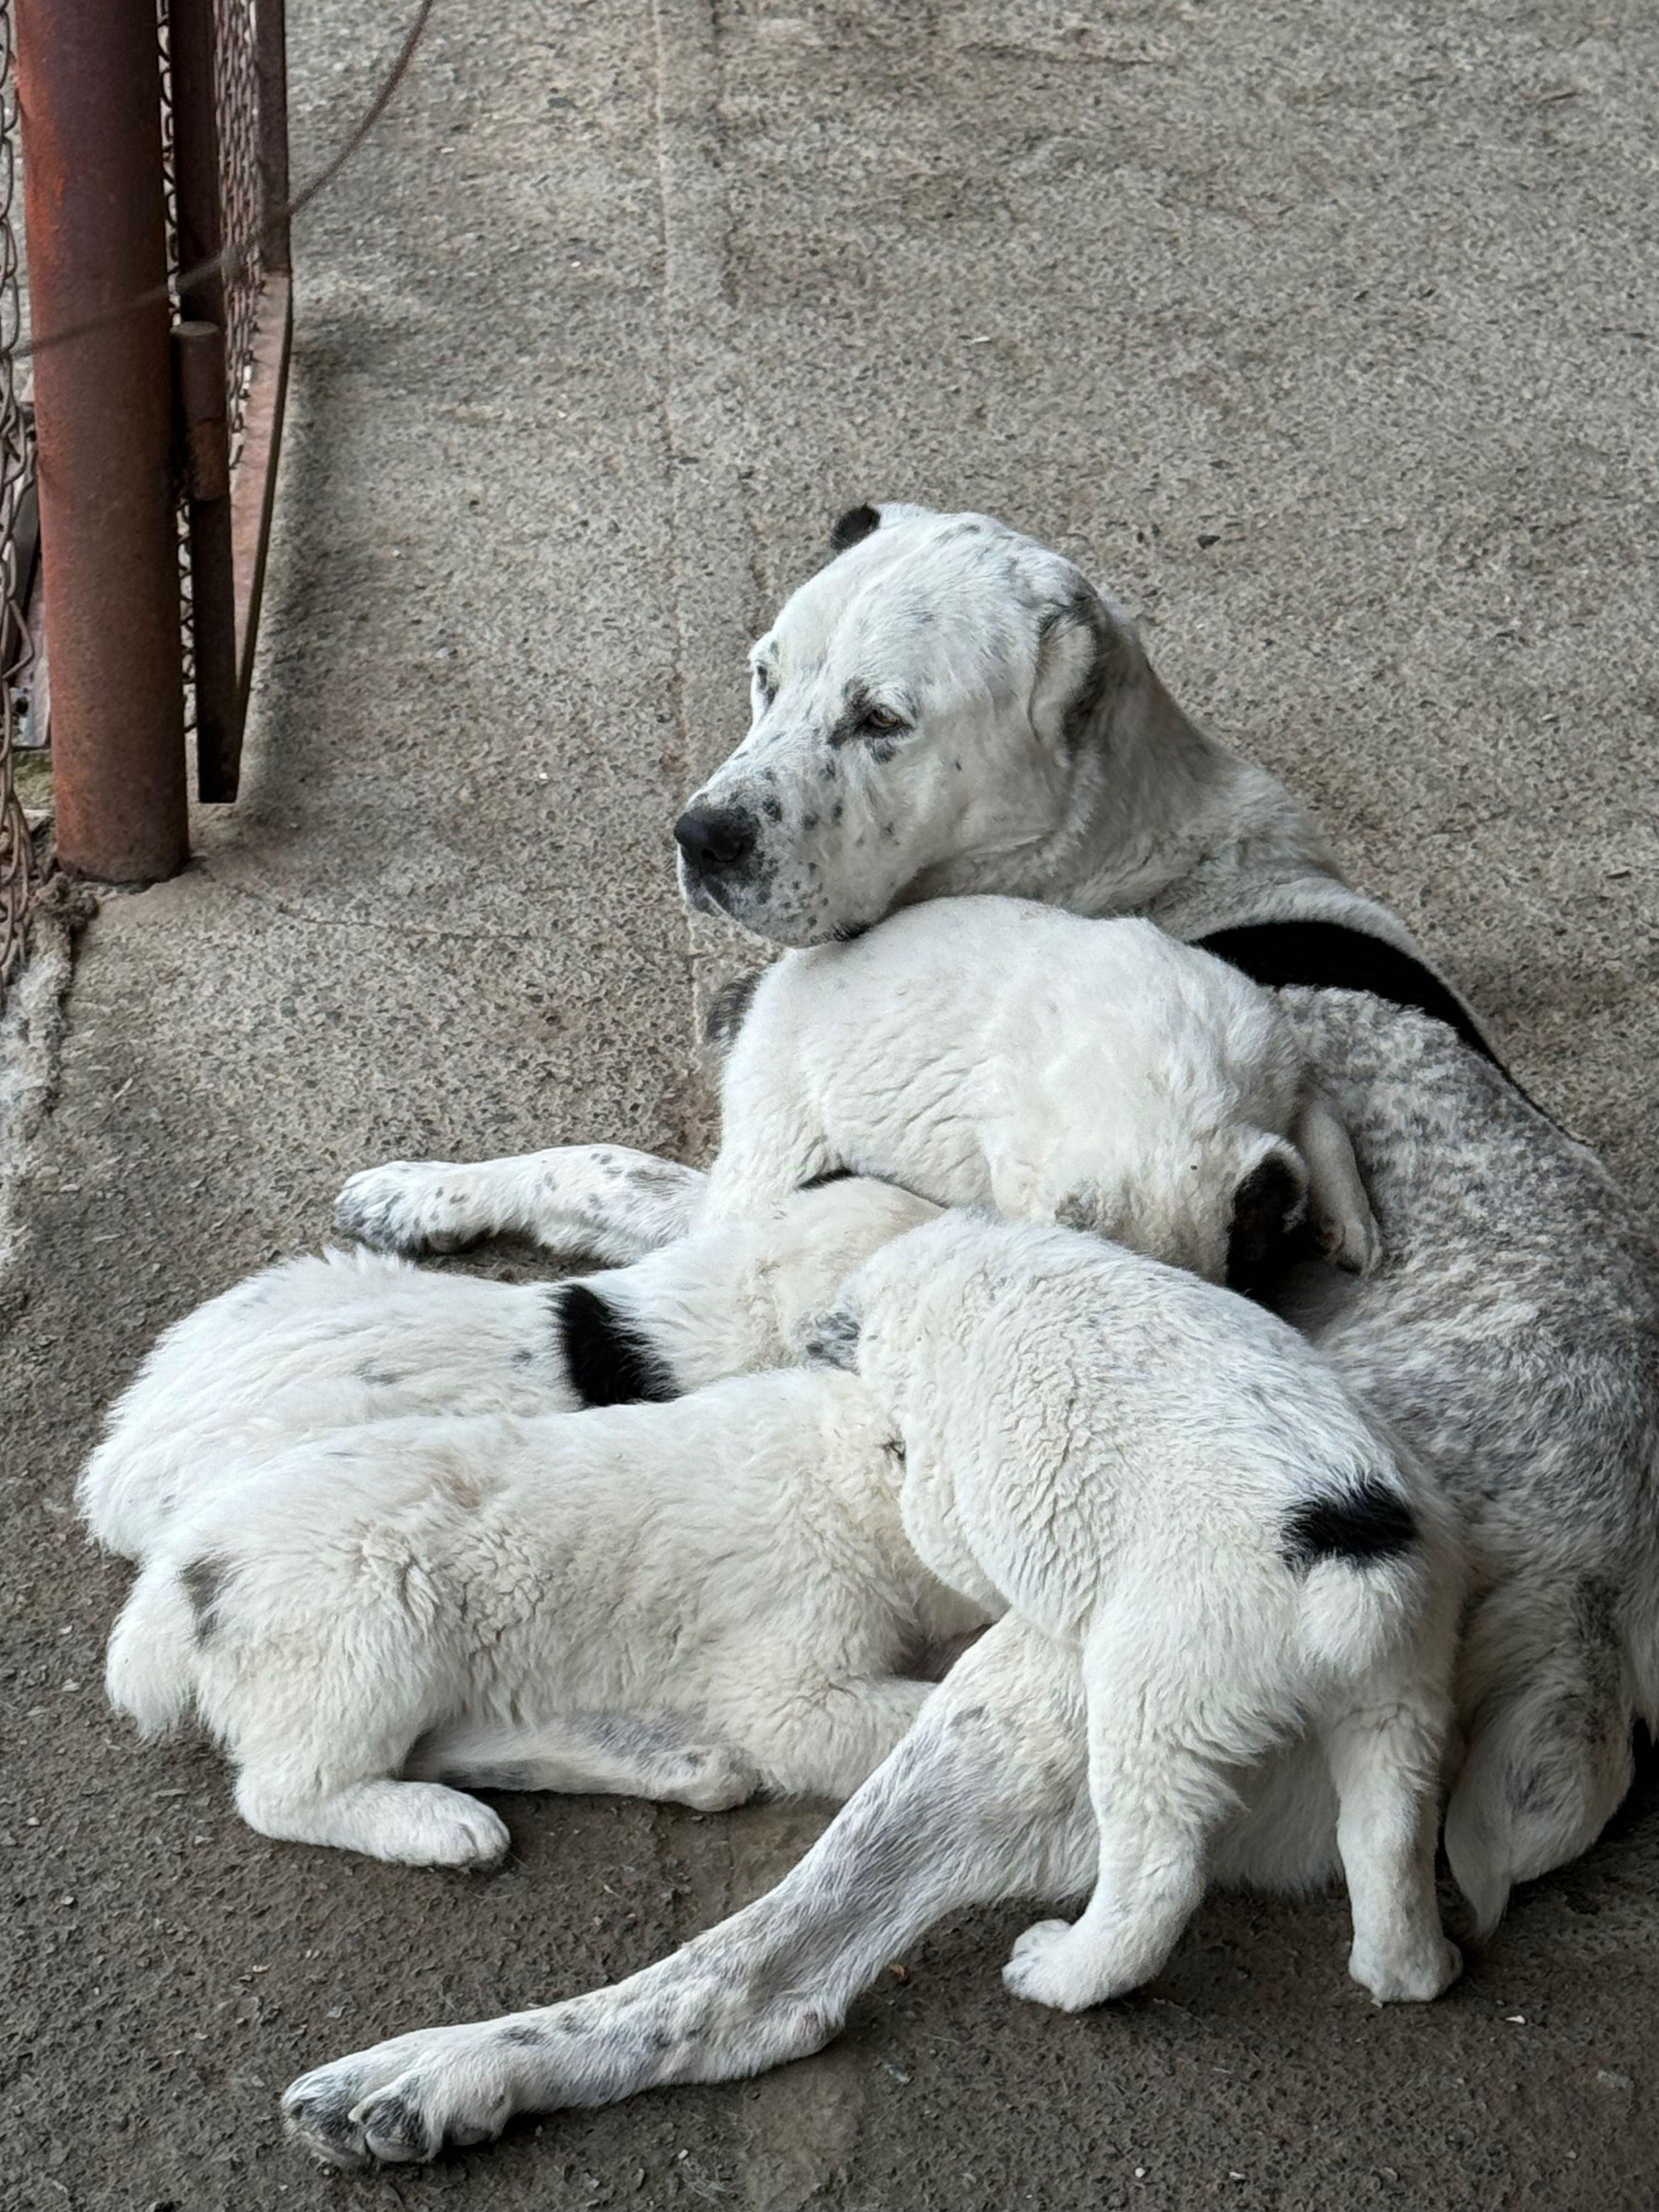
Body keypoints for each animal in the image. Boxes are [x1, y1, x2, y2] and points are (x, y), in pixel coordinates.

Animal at [110, 1362, 995, 1867]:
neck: (852, 1483)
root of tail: (182, 1568)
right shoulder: (793, 1680)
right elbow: (906, 1713)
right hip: (367, 1624)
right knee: (286, 1793)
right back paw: (442, 1829)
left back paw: (674, 1763)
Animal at [703, 893, 1380, 1291]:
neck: (1172, 1095)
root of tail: (764, 989)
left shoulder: (1282, 1066)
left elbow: (1324, 1129)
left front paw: (1352, 1227)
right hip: (775, 1143)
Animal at [836, 1221, 1460, 2017]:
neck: (974, 1263)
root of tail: (1348, 1562)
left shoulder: (947, 1481)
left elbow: (946, 1542)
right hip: (1403, 1684)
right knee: (1390, 1833)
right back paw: (1412, 1969)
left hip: (1160, 1695)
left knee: (1158, 1873)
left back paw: (1062, 1972)